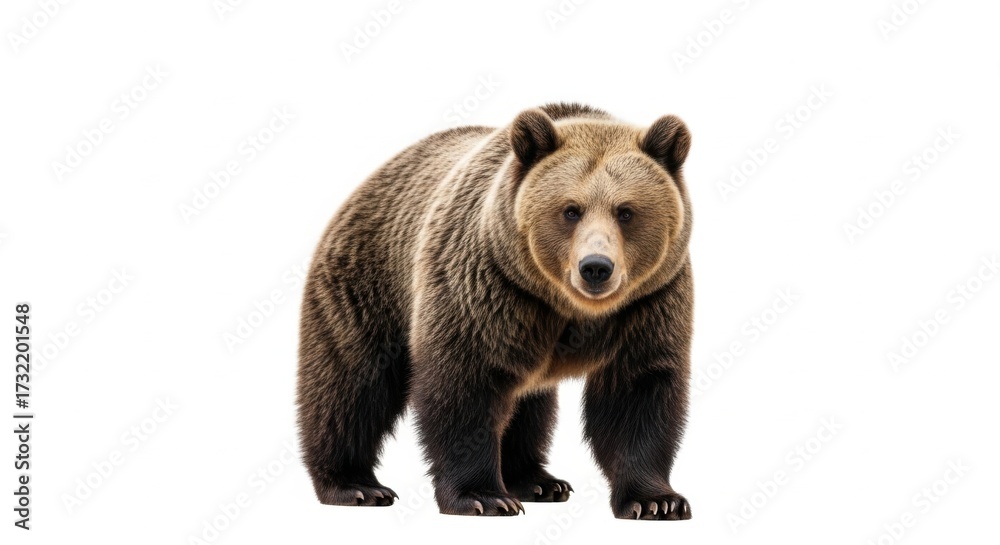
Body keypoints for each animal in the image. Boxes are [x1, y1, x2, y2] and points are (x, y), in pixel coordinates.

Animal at [297, 103, 694, 520]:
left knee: (528, 405)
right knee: (351, 386)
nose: (596, 267)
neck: (566, 306)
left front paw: (656, 500)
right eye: (571, 210)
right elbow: (465, 386)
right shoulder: (488, 287)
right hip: (367, 285)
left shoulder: (648, 303)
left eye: (626, 211)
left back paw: (537, 480)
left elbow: (638, 391)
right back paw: (355, 485)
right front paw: (483, 496)